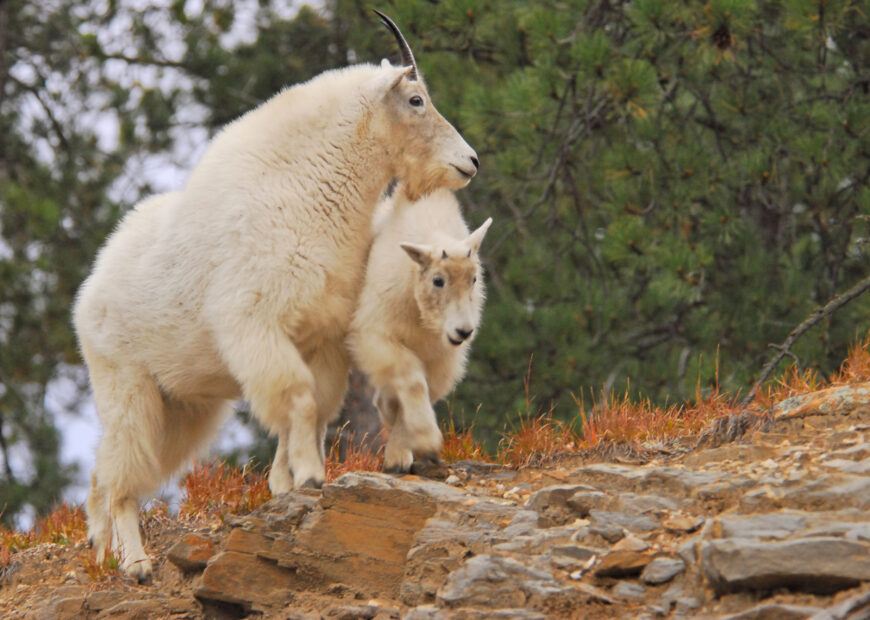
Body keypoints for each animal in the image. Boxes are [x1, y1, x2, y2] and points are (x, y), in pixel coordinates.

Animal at [350, 186, 494, 472]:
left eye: (473, 279)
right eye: (438, 280)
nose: (463, 332)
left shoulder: (444, 357)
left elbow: (427, 389)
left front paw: (406, 450)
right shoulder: (379, 334)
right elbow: (413, 380)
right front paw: (423, 442)